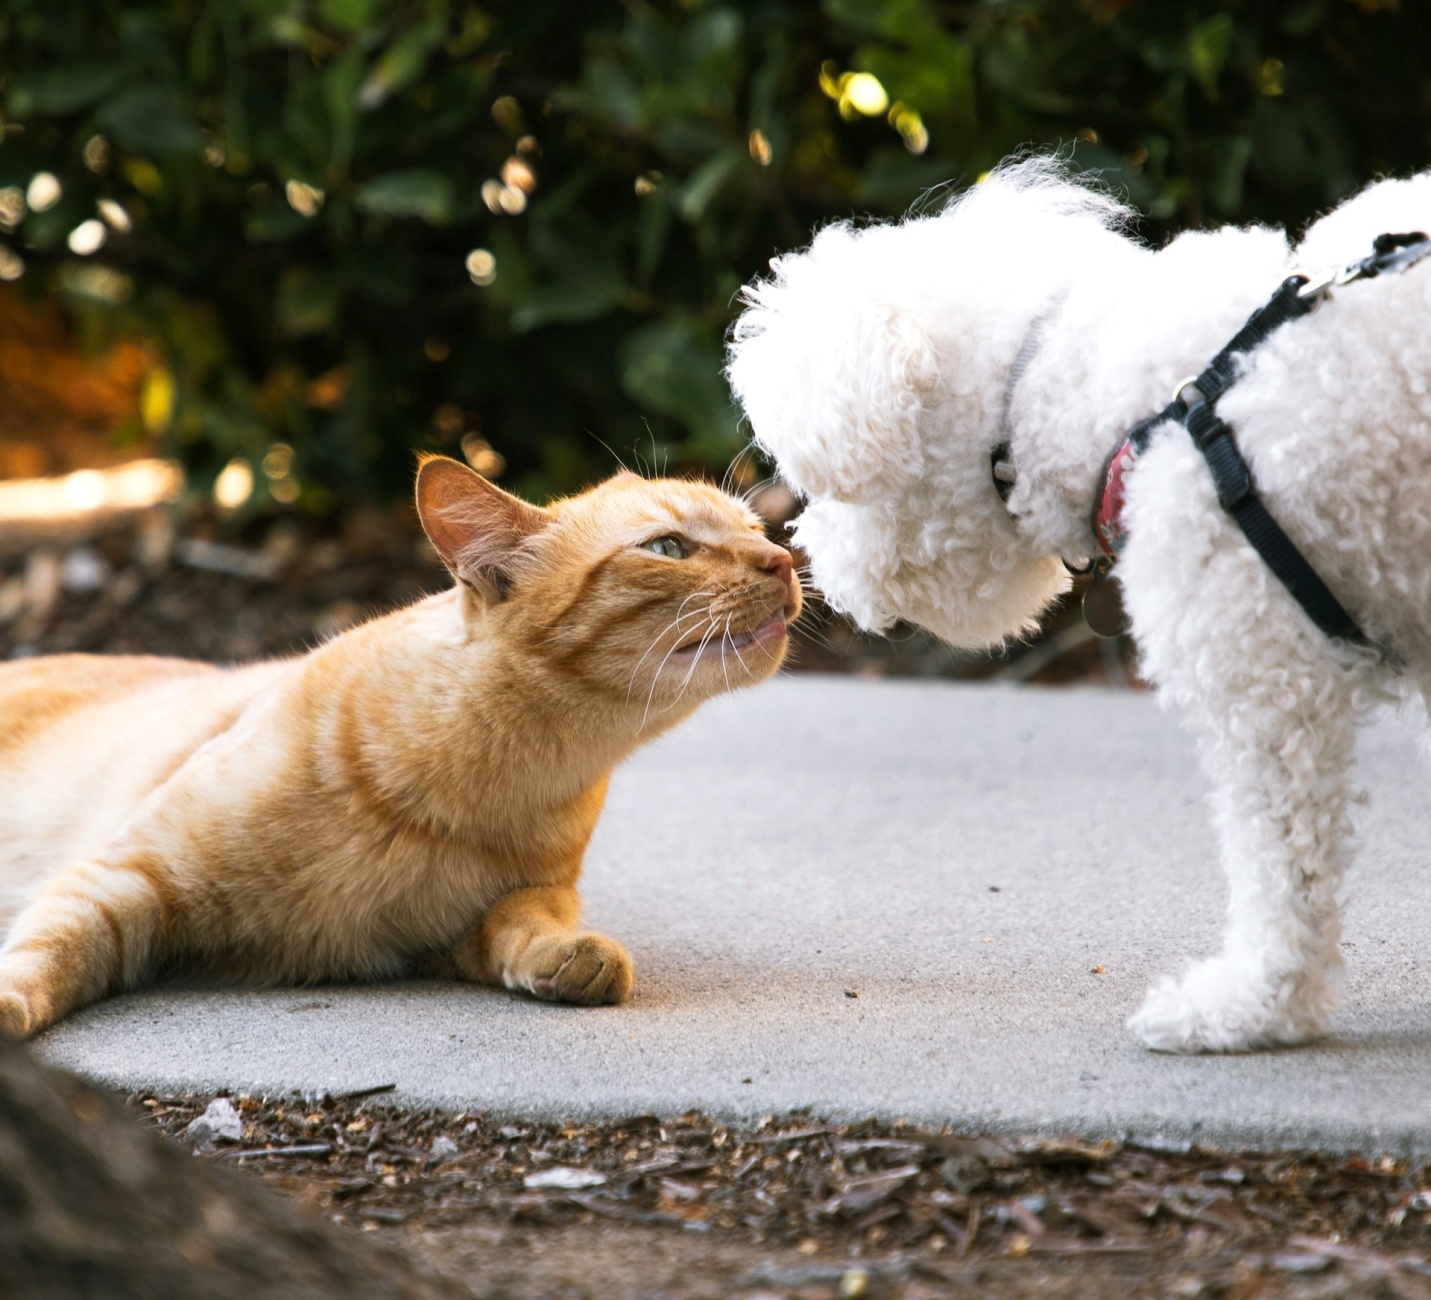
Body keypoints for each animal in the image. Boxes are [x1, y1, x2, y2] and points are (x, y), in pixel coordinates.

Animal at [0, 458, 801, 1036]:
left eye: (757, 526)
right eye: (667, 547)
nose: (783, 560)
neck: (485, 782)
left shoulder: (484, 917)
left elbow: (522, 925)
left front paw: (570, 959)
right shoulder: (123, 878)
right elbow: (47, 952)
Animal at [732, 159, 1425, 1053]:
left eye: (822, 484)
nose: (803, 557)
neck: (1135, 398)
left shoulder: (1264, 684)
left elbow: (1281, 869)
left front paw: (1249, 1008)